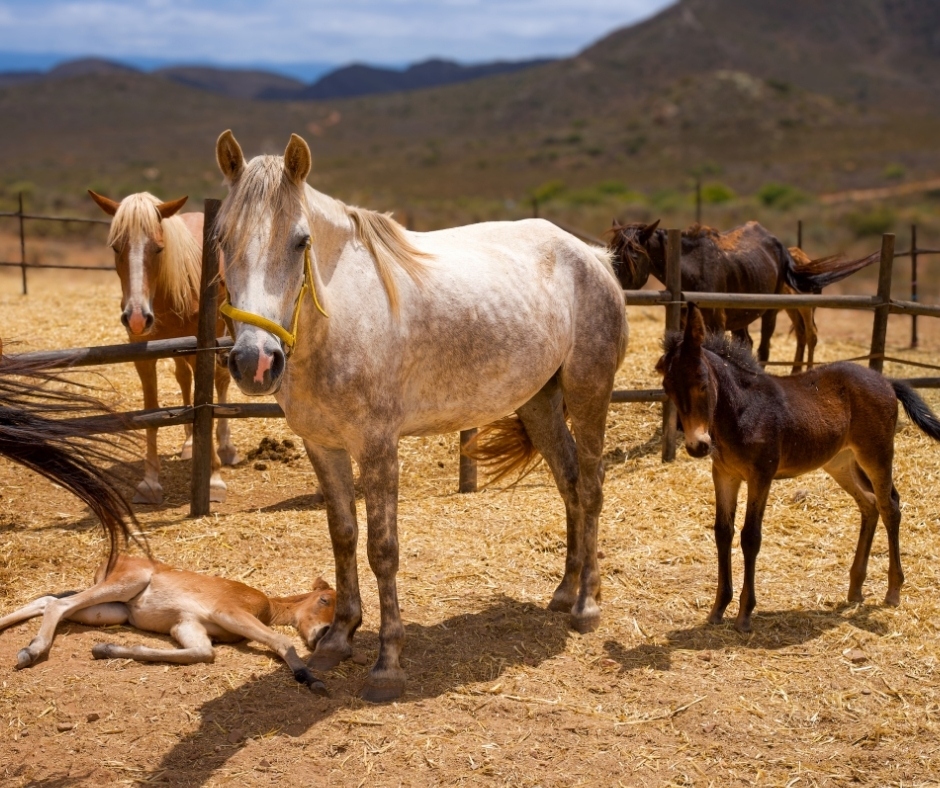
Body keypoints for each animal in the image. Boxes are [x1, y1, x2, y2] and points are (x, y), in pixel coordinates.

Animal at [1, 554, 335, 693]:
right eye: (325, 600)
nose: (324, 633)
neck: (267, 606)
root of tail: (108, 561)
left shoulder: (186, 623)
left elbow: (203, 653)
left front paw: (105, 649)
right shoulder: (228, 611)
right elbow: (281, 641)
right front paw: (309, 677)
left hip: (112, 610)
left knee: (49, 600)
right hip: (125, 583)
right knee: (57, 602)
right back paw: (32, 651)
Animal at [88, 190, 240, 504]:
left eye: (158, 249)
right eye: (116, 247)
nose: (136, 317)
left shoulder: (202, 351)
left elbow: (206, 402)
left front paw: (214, 478)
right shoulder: (144, 355)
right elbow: (152, 414)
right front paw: (149, 482)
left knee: (220, 382)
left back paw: (226, 449)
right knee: (184, 381)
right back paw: (191, 444)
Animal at [213, 129, 628, 702]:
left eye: (300, 242)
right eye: (221, 239)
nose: (256, 360)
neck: (342, 317)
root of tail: (592, 255)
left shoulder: (377, 446)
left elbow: (382, 548)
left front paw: (388, 663)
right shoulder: (324, 446)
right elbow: (343, 535)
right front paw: (339, 637)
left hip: (589, 395)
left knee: (590, 487)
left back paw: (587, 605)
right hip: (540, 403)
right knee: (569, 484)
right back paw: (565, 592)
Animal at [607, 220, 877, 372]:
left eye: (633, 256)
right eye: (610, 251)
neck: (691, 271)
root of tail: (779, 244)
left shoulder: (716, 324)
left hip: (771, 312)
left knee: (767, 348)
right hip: (742, 315)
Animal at [656, 303, 940, 632]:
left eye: (702, 383)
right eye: (668, 388)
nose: (697, 445)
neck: (741, 410)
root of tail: (886, 381)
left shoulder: (761, 475)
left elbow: (750, 536)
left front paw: (744, 614)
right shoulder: (725, 475)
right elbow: (722, 532)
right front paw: (718, 608)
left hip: (876, 454)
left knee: (889, 506)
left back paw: (893, 591)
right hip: (841, 461)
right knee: (869, 505)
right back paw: (855, 588)